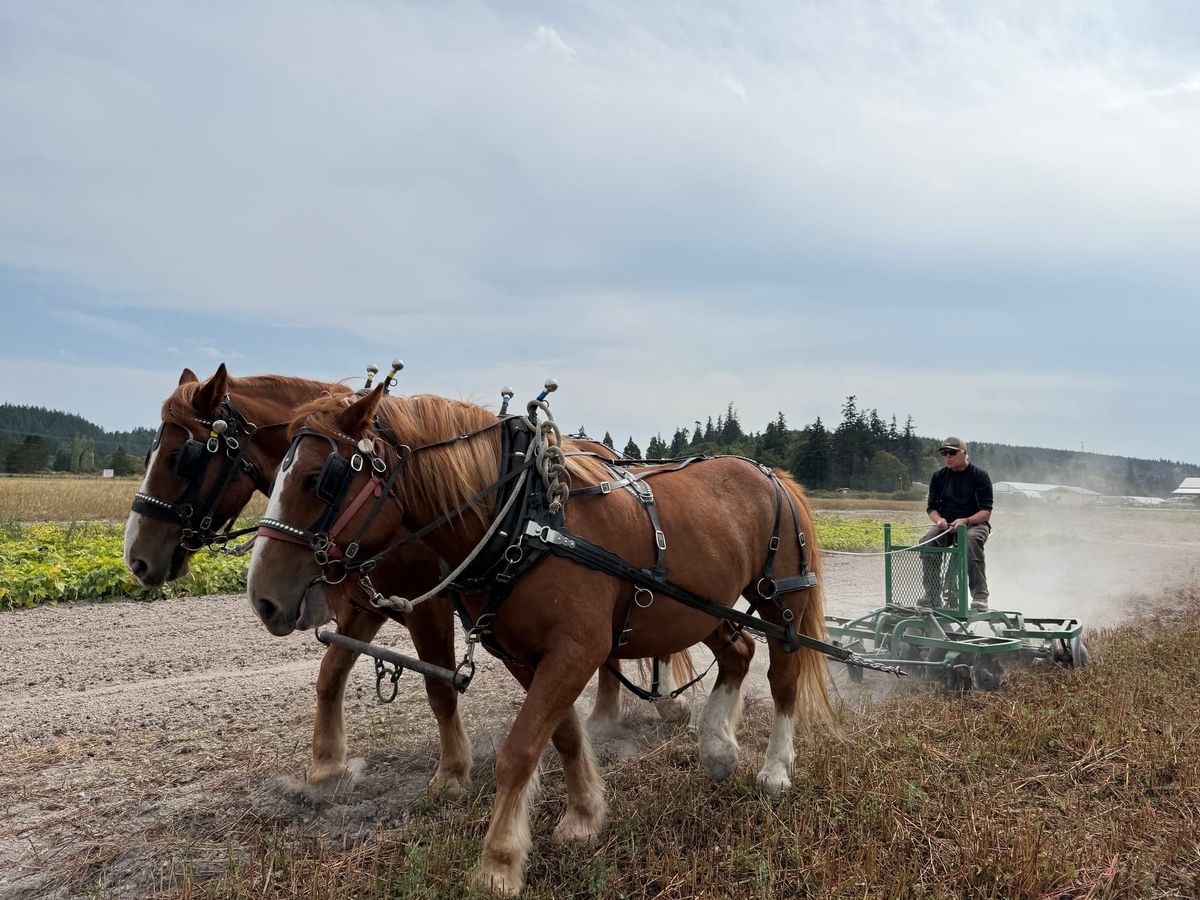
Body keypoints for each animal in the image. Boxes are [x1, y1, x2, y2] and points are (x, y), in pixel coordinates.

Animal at [125, 365, 692, 794]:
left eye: (182, 457)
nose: (136, 558)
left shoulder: (428, 604)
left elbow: (439, 687)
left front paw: (453, 771)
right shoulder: (366, 603)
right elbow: (330, 673)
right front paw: (326, 764)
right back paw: (606, 715)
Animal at [246, 384, 832, 895]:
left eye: (320, 478)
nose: (263, 598)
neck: (524, 516)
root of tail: (773, 474)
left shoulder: (576, 651)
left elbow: (521, 748)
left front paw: (499, 862)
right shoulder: (527, 657)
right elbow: (564, 735)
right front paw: (585, 814)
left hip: (781, 602)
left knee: (782, 676)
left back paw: (775, 769)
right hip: (700, 609)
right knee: (739, 653)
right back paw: (717, 748)